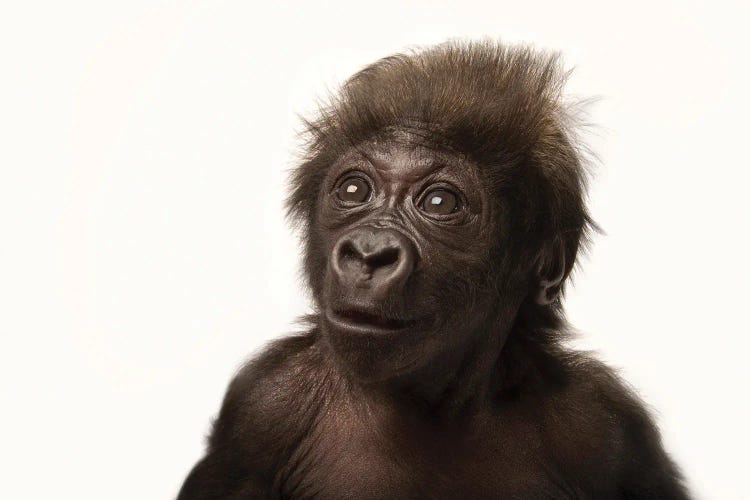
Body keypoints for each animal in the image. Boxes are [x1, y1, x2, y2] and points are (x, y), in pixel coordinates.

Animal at [179, 41, 692, 498]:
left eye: (439, 202)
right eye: (352, 190)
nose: (370, 252)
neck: (435, 404)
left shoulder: (609, 430)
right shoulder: (260, 415)